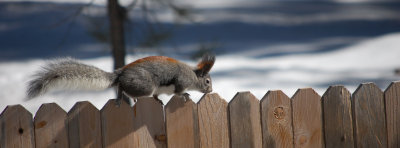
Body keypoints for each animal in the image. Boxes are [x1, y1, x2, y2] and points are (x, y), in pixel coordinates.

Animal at [27, 54, 216, 105]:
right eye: (207, 81)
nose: (211, 90)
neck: (192, 75)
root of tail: (120, 73)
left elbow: (159, 95)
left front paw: (158, 100)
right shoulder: (181, 81)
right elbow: (178, 92)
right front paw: (185, 96)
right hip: (145, 85)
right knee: (122, 87)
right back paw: (121, 97)